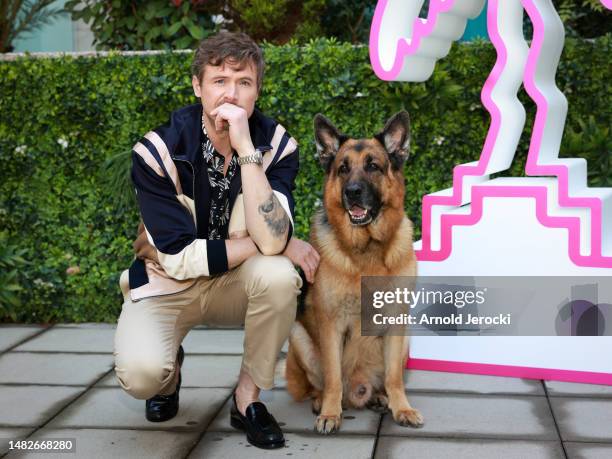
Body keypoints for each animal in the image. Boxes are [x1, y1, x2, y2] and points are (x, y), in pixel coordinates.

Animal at [286, 111, 420, 434]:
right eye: (343, 169)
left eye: (373, 166)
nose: (352, 192)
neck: (367, 250)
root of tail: (357, 391)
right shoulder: (331, 325)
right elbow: (333, 376)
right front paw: (330, 414)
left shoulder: (396, 323)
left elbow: (394, 377)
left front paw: (402, 408)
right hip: (298, 335)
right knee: (322, 384)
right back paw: (322, 401)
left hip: (406, 340)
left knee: (382, 380)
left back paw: (380, 397)